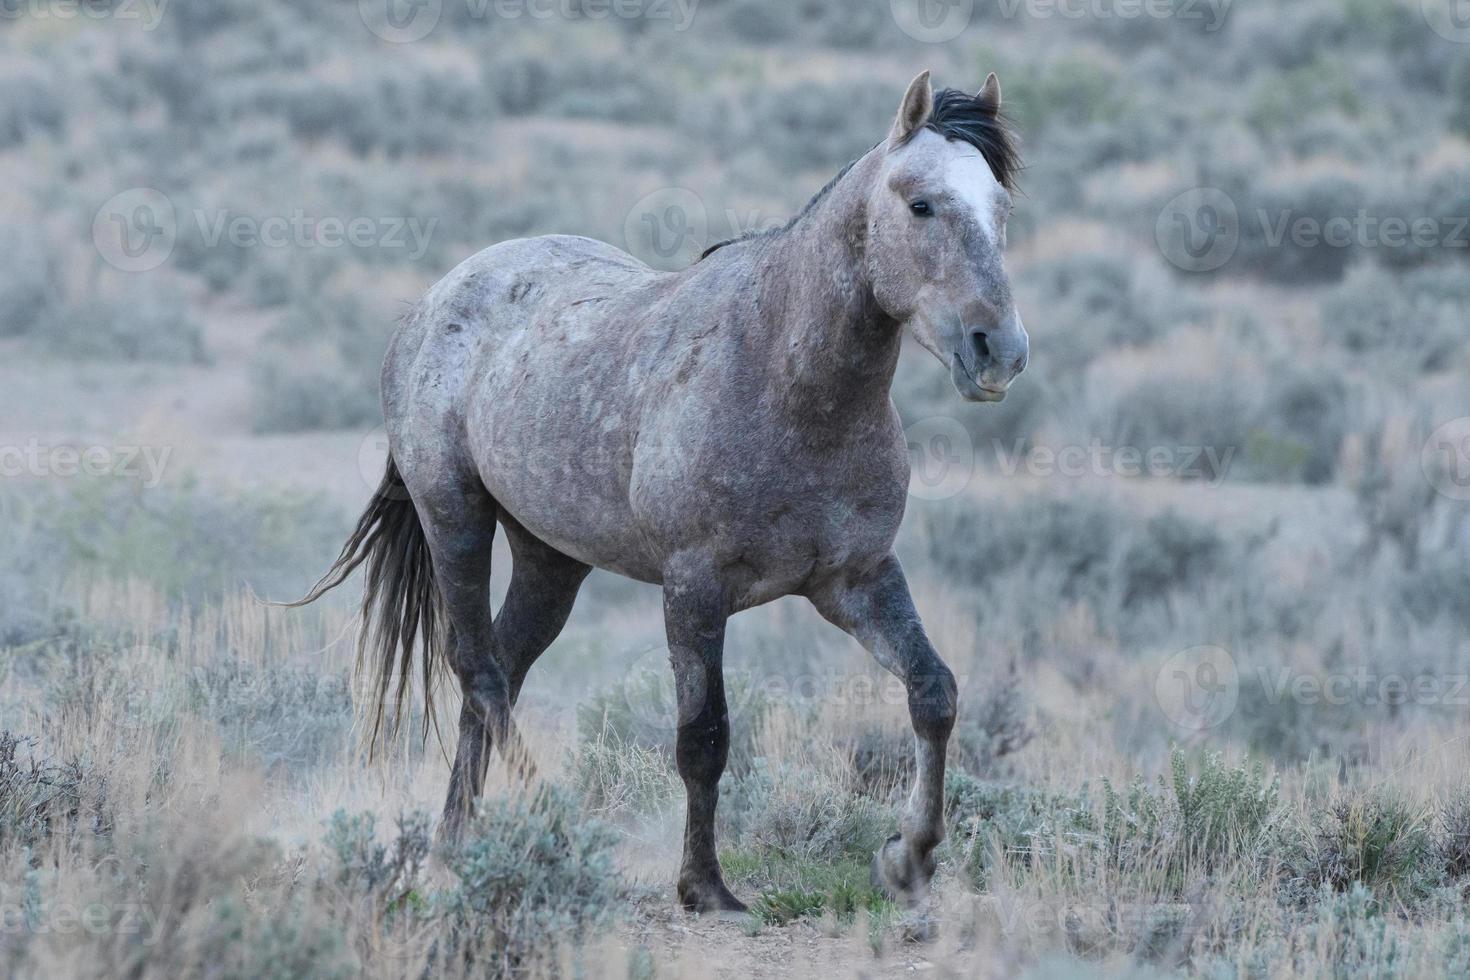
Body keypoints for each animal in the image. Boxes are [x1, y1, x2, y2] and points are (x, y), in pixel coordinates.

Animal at [296, 72, 1029, 916]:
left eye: (1000, 206)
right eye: (921, 205)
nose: (999, 351)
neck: (789, 382)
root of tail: (434, 302)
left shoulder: (857, 581)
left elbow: (932, 692)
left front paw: (909, 856)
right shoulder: (694, 589)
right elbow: (703, 738)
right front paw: (703, 885)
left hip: (551, 559)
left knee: (504, 668)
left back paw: (457, 843)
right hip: (455, 516)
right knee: (479, 669)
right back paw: (547, 822)